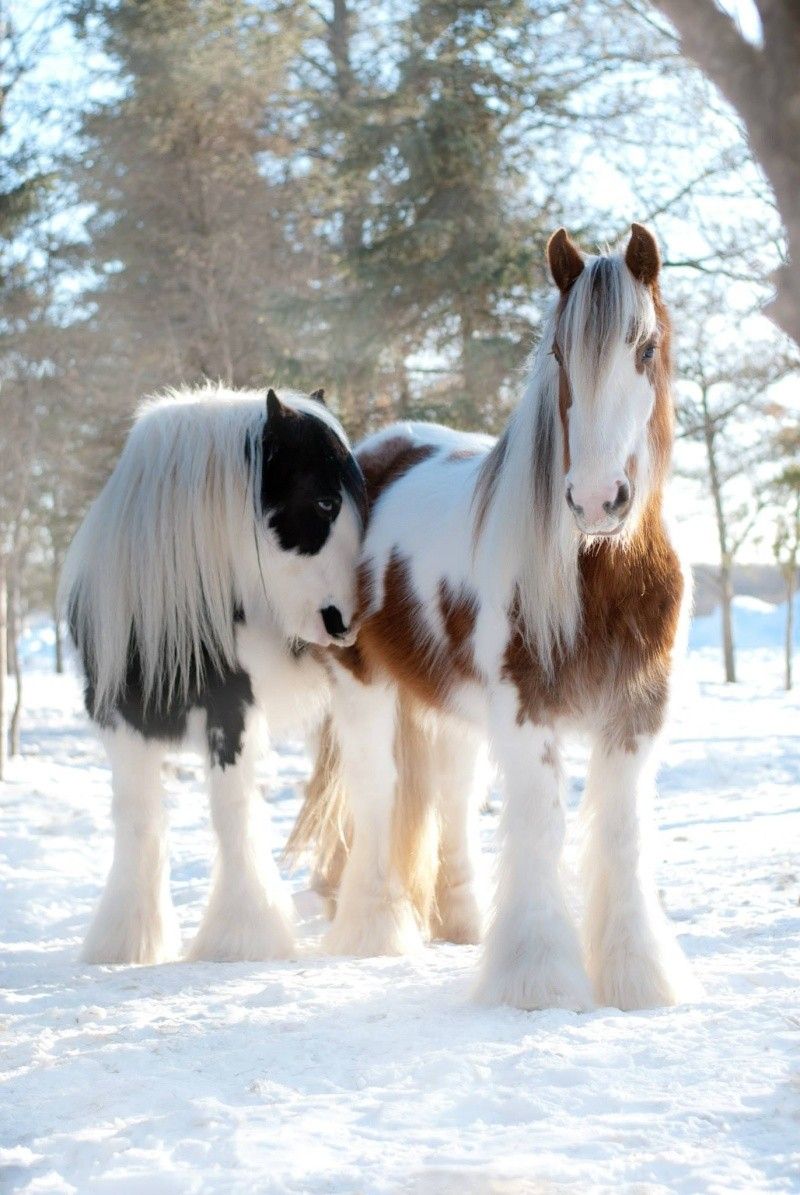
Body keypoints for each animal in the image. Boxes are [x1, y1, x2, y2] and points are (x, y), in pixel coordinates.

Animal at [63, 387, 365, 965]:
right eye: (323, 503)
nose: (351, 618)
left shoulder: (233, 712)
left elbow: (233, 809)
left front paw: (243, 936)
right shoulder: (120, 719)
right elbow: (137, 816)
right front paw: (127, 939)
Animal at [296, 222, 693, 1008]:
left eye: (645, 348)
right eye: (560, 354)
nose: (596, 500)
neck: (599, 576)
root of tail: (374, 452)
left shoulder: (635, 714)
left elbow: (622, 836)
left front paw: (635, 977)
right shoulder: (525, 711)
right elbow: (540, 828)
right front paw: (537, 980)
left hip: (453, 710)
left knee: (449, 794)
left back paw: (460, 923)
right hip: (364, 691)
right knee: (377, 793)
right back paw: (375, 930)